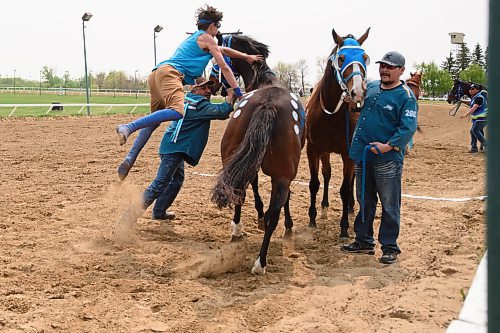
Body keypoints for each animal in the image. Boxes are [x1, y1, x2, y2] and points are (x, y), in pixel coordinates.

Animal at [211, 34, 304, 274]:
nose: (215, 84)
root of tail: (268, 103)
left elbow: (253, 188)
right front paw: (286, 225)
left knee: (238, 193)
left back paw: (239, 233)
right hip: (281, 176)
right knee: (272, 212)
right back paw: (260, 260)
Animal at [304, 27, 372, 237]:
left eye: (365, 57)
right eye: (341, 58)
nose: (358, 92)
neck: (330, 113)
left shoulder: (348, 153)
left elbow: (344, 188)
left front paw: (344, 227)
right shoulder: (313, 149)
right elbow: (315, 183)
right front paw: (312, 218)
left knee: (351, 181)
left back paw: (350, 207)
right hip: (325, 151)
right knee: (327, 174)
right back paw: (325, 205)